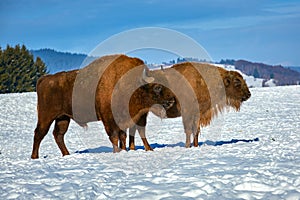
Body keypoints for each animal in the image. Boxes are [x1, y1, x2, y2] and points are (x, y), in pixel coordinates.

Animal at [29, 54, 176, 159]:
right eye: (157, 87)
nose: (171, 100)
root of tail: (44, 79)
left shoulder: (125, 119)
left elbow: (123, 136)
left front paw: (124, 150)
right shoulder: (109, 119)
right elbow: (114, 136)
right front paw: (117, 152)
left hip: (63, 118)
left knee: (58, 135)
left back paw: (67, 155)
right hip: (46, 116)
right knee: (39, 133)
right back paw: (35, 157)